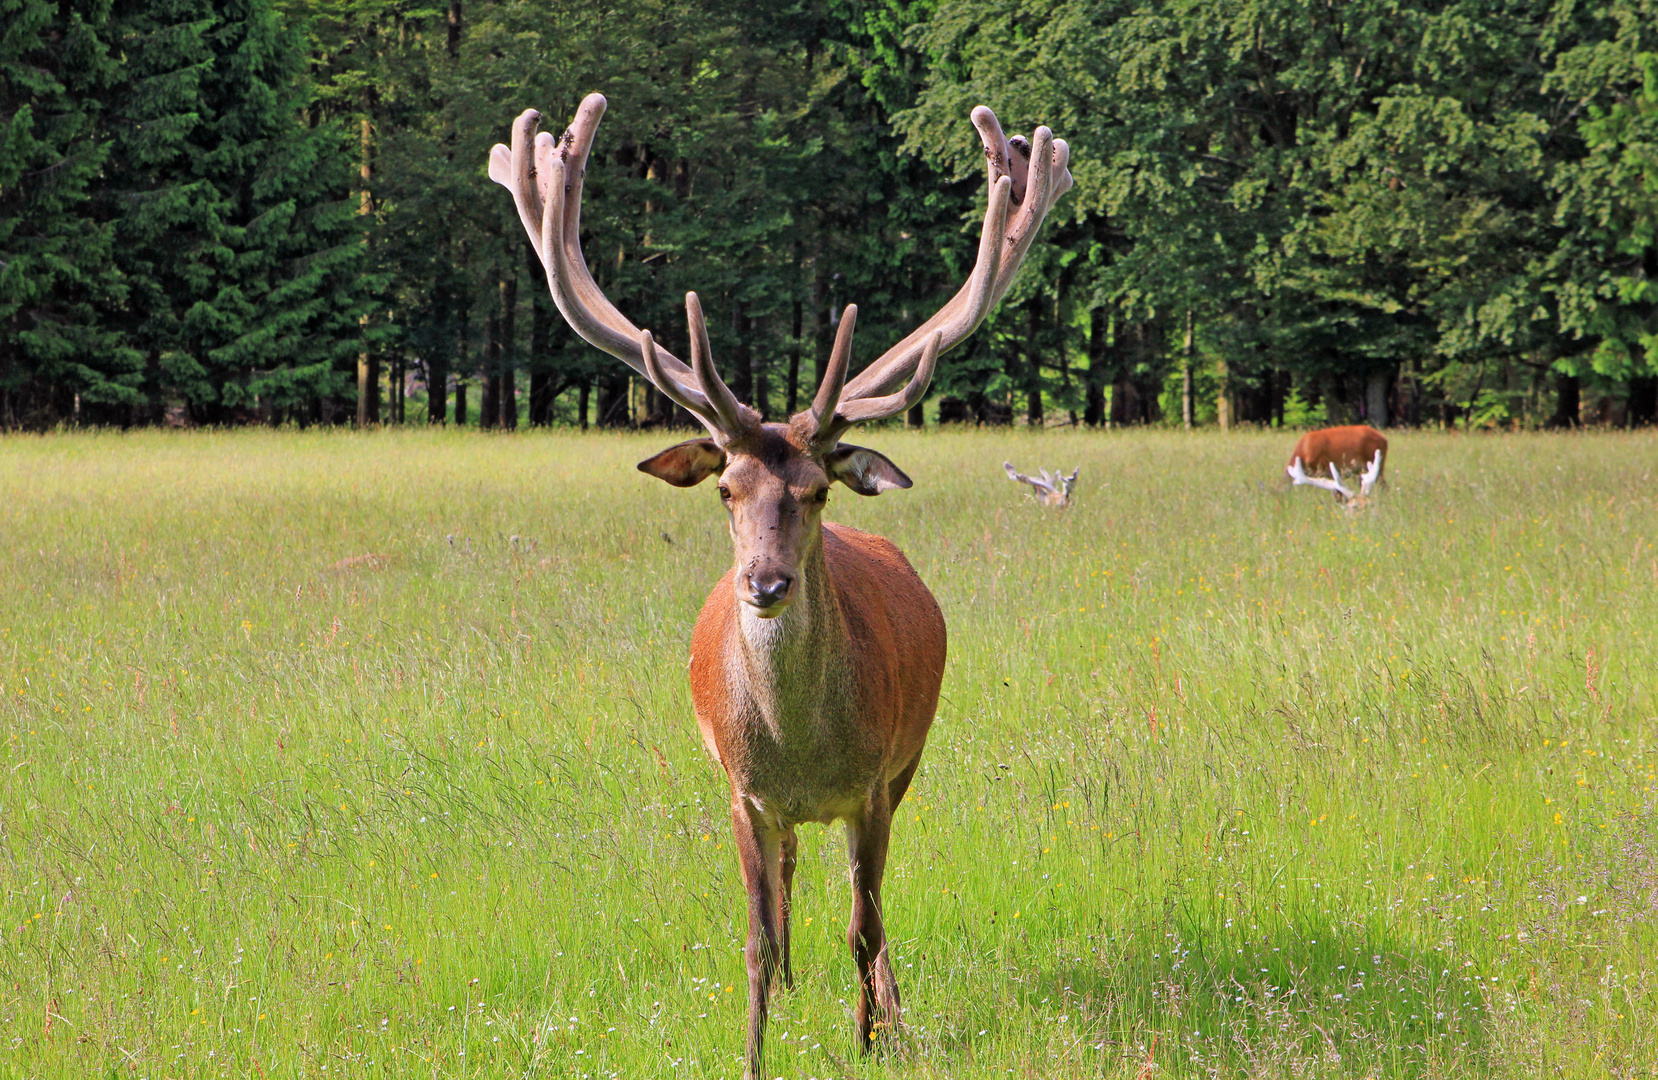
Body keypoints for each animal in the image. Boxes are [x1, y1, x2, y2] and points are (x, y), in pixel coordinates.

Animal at [484, 94, 1067, 1080]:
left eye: (817, 489)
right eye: (726, 489)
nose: (765, 581)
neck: (802, 749)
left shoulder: (873, 783)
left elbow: (865, 928)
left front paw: (873, 1040)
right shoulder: (741, 791)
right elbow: (754, 941)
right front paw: (759, 1046)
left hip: (908, 763)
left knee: (868, 907)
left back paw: (890, 1012)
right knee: (795, 875)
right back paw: (800, 984)